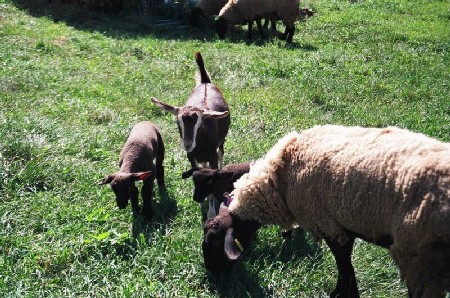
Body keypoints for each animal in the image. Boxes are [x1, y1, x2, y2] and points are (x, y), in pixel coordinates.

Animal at [151, 52, 230, 218]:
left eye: (199, 124)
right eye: (178, 122)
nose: (187, 144)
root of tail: (205, 82)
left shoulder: (212, 156)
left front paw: (211, 213)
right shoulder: (191, 157)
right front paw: (202, 205)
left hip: (221, 143)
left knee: (221, 153)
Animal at [203, 124, 450, 296]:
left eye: (214, 243)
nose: (212, 275)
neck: (279, 180)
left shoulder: (331, 226)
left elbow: (346, 270)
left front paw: (339, 294)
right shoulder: (342, 228)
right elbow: (346, 269)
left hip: (420, 258)